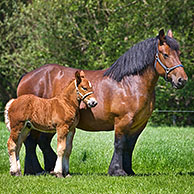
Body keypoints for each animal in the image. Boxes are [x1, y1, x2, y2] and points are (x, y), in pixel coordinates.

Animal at [17, 29, 188, 177]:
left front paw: (129, 170)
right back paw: (36, 170)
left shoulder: (138, 124)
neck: (130, 84)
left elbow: (129, 147)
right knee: (31, 143)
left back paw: (49, 168)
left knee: (42, 142)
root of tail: (27, 77)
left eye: (179, 54)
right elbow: (120, 144)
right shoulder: (122, 121)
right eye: (165, 54)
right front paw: (117, 171)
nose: (182, 80)